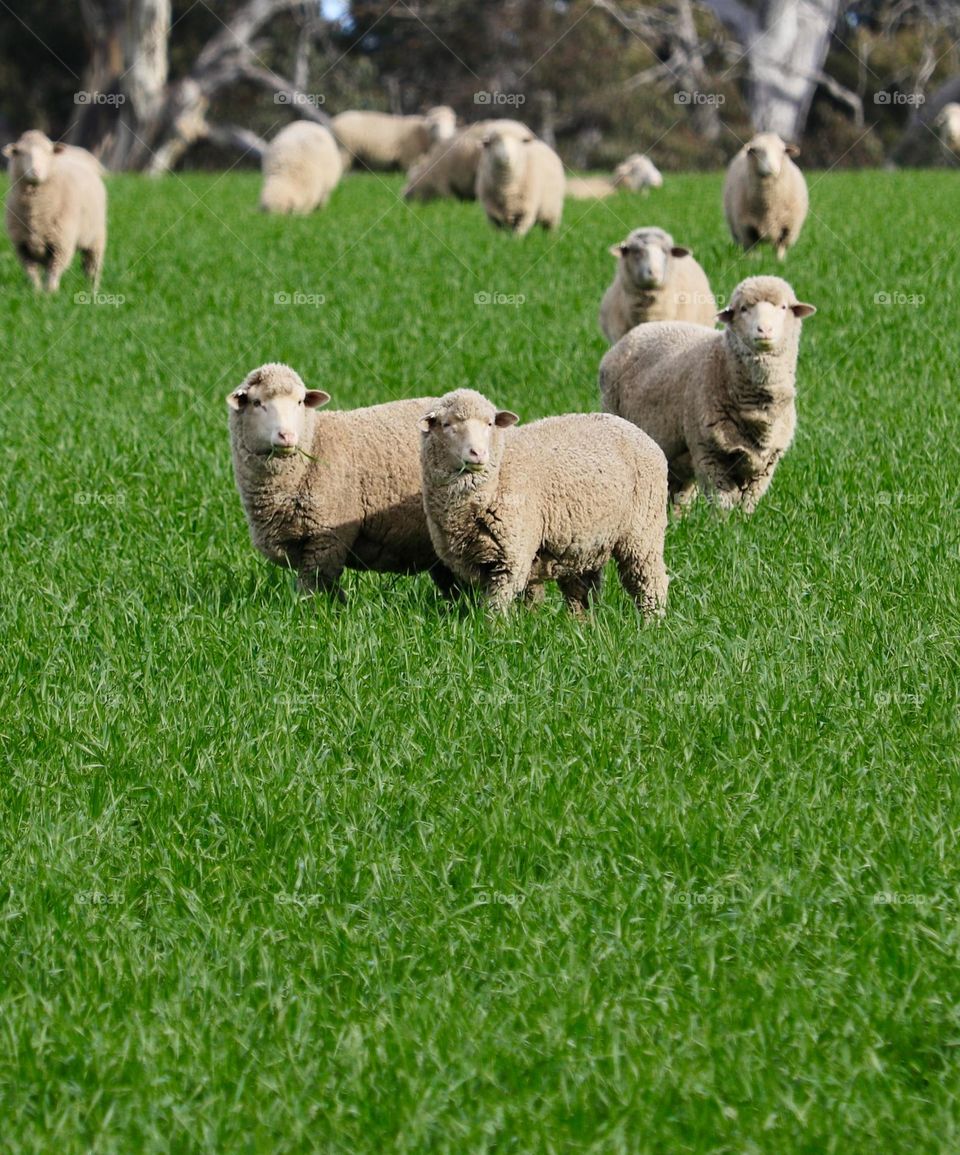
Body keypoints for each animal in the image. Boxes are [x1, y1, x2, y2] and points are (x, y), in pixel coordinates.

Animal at [3, 129, 106, 292]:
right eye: (20, 152)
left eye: (48, 152)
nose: (35, 171)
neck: (36, 209)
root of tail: (75, 149)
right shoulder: (22, 246)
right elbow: (32, 273)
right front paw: (36, 293)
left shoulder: (62, 243)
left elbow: (55, 271)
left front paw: (51, 294)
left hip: (96, 238)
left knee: (92, 268)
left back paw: (93, 291)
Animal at [227, 363, 455, 596]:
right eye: (257, 403)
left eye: (300, 402)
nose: (287, 436)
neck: (315, 443)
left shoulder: (326, 538)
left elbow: (314, 589)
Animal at [419, 389, 669, 617]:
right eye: (446, 424)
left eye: (490, 424)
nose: (478, 453)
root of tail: (631, 426)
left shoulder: (511, 558)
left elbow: (495, 607)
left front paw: (495, 632)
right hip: (585, 541)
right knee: (583, 591)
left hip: (643, 532)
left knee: (651, 582)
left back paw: (651, 623)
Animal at [599, 275, 815, 513]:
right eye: (744, 308)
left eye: (783, 307)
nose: (764, 330)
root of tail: (637, 331)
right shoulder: (710, 453)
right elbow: (722, 504)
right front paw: (724, 523)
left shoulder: (766, 465)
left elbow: (748, 506)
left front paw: (745, 522)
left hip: (678, 461)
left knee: (678, 493)